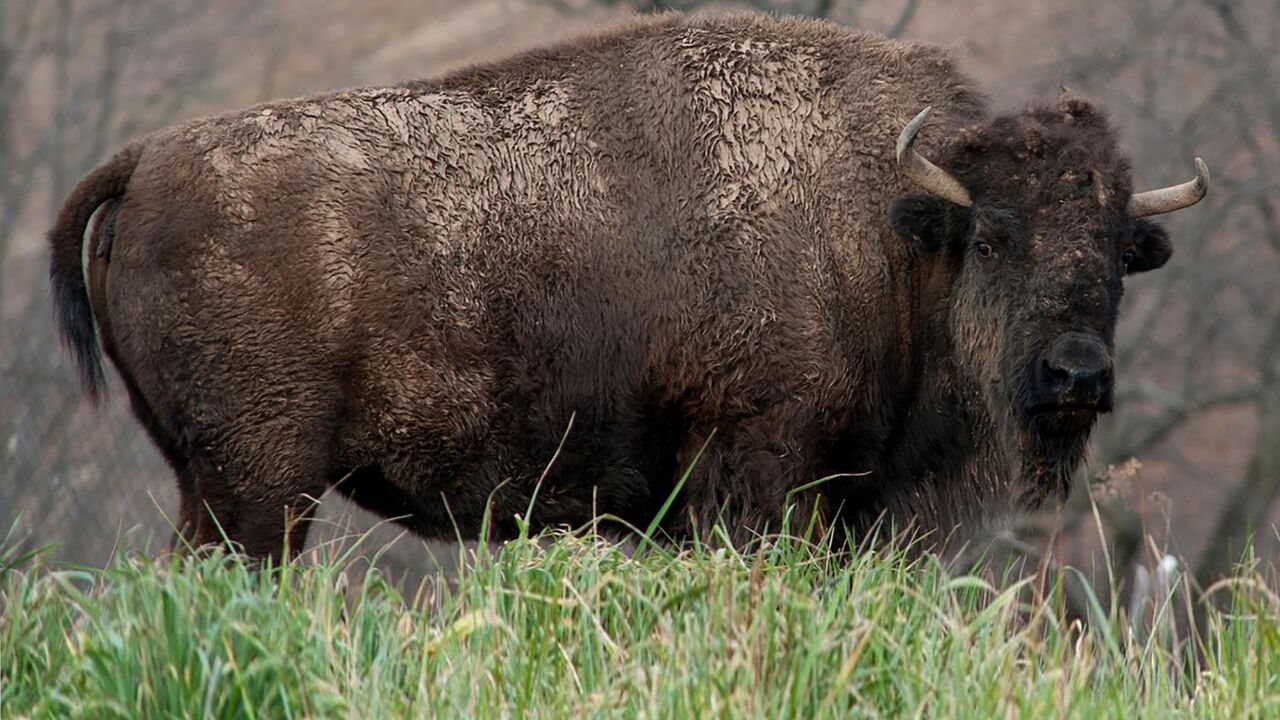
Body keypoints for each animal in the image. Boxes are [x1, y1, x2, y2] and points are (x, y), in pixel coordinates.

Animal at [49, 14, 1208, 558]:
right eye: (995, 238)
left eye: (1116, 249)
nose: (1076, 375)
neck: (887, 233)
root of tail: (148, 158)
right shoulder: (757, 471)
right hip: (262, 487)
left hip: (211, 482)